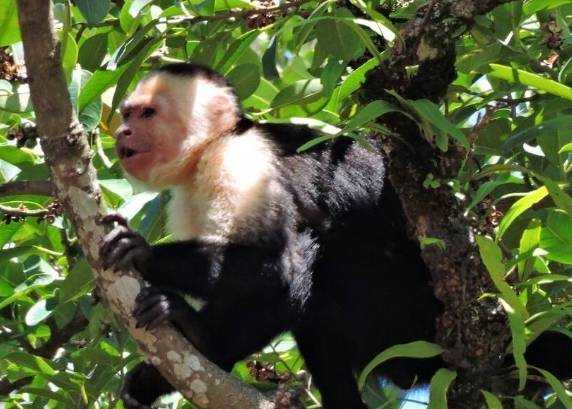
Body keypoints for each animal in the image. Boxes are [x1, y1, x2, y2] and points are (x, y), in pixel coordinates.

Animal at [101, 63, 572, 408]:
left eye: (148, 114)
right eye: (127, 114)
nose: (122, 132)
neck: (213, 145)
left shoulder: (238, 158)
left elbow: (274, 264)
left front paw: (144, 255)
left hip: (403, 314)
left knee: (315, 256)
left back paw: (203, 337)